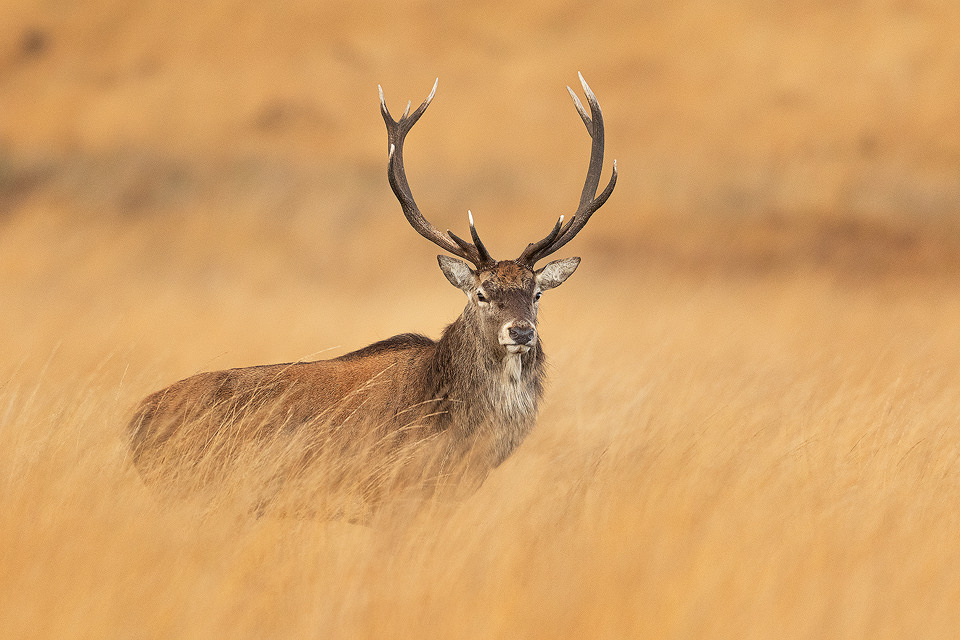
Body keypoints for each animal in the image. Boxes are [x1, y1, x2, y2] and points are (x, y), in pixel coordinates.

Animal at [125, 75, 616, 516]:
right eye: (480, 293)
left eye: (537, 293)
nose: (521, 331)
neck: (462, 435)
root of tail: (134, 421)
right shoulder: (392, 493)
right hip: (188, 489)